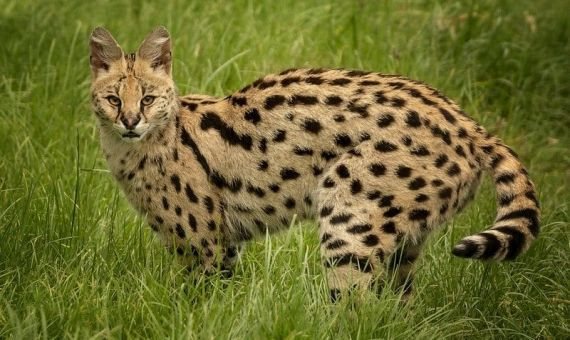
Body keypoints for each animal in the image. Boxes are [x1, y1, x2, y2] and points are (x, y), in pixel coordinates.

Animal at [87, 26, 536, 298]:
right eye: (113, 99)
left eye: (147, 98)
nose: (130, 121)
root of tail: (469, 124)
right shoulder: (226, 245)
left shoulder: (202, 244)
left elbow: (198, 301)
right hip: (403, 241)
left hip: (350, 217)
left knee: (356, 312)